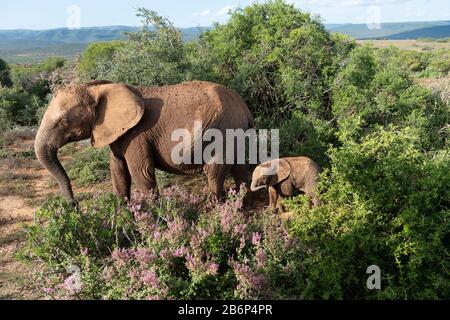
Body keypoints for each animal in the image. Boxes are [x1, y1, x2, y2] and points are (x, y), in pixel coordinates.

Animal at [35, 80, 255, 202]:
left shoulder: (137, 134)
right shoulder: (119, 133)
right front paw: (123, 215)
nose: (74, 205)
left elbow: (140, 172)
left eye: (63, 122)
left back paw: (215, 206)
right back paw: (241, 201)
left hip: (222, 130)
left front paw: (153, 220)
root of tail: (244, 108)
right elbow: (118, 170)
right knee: (238, 166)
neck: (98, 89)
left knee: (214, 170)